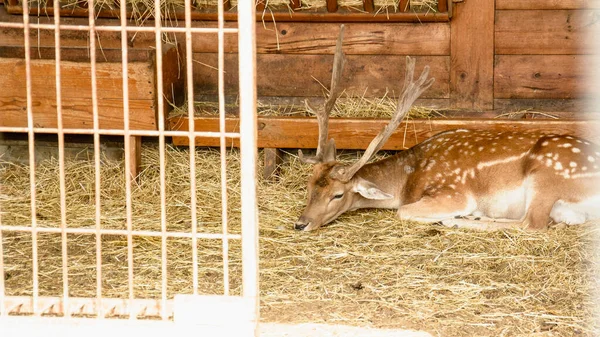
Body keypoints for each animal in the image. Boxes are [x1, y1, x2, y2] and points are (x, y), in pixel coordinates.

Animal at [294, 25, 600, 231]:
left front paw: (453, 216)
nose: (301, 223)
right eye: (308, 187)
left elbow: (403, 212)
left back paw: (459, 220)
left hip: (546, 177)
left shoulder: (452, 193)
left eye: (338, 194)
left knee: (532, 224)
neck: (408, 180)